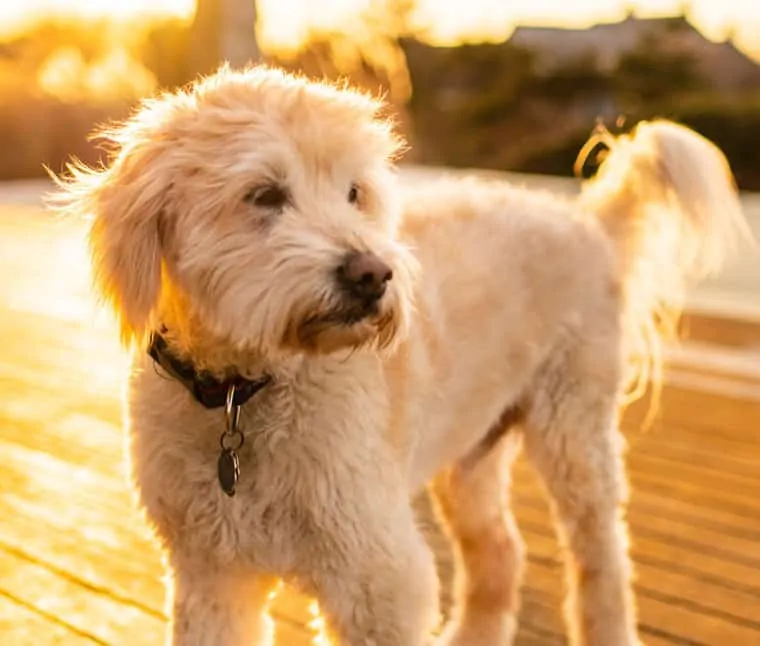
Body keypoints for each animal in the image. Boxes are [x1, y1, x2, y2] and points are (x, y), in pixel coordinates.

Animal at [52, 67, 748, 646]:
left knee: (602, 560)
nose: (373, 274)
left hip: (574, 431)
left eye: (354, 192)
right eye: (264, 195)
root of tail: (588, 220)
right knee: (501, 554)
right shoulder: (211, 575)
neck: (241, 393)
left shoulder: (377, 574)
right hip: (471, 456)